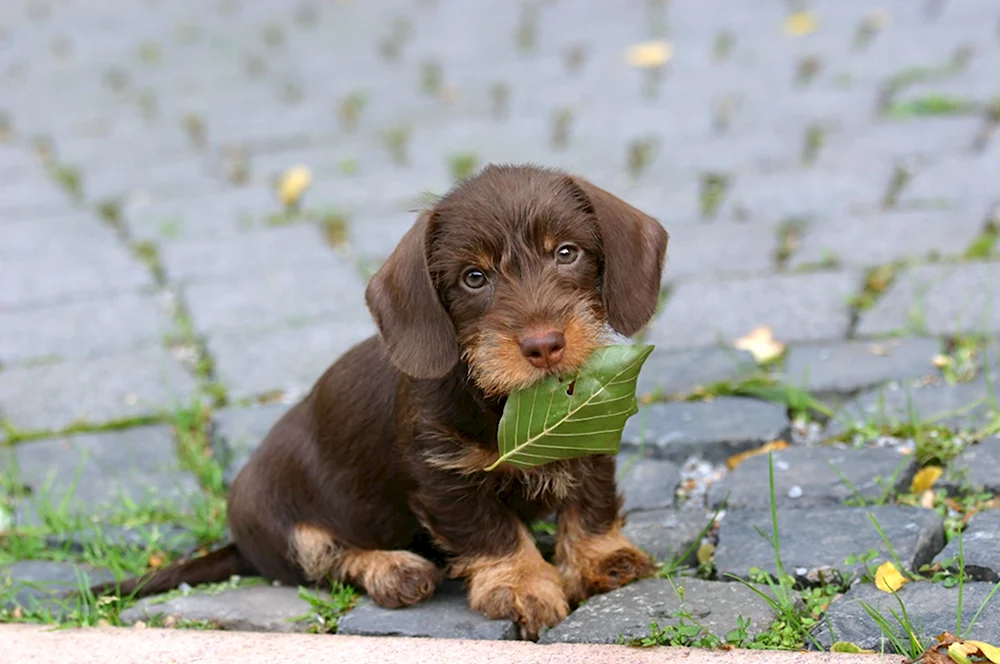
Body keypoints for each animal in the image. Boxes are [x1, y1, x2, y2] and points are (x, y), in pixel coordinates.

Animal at [97, 162, 668, 640]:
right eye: (474, 277)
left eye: (566, 252)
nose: (544, 344)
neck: (508, 402)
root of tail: (239, 543)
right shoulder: (445, 480)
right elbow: (494, 534)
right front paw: (522, 585)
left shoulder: (590, 439)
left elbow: (590, 505)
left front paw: (601, 558)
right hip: (276, 519)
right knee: (325, 560)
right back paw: (395, 570)